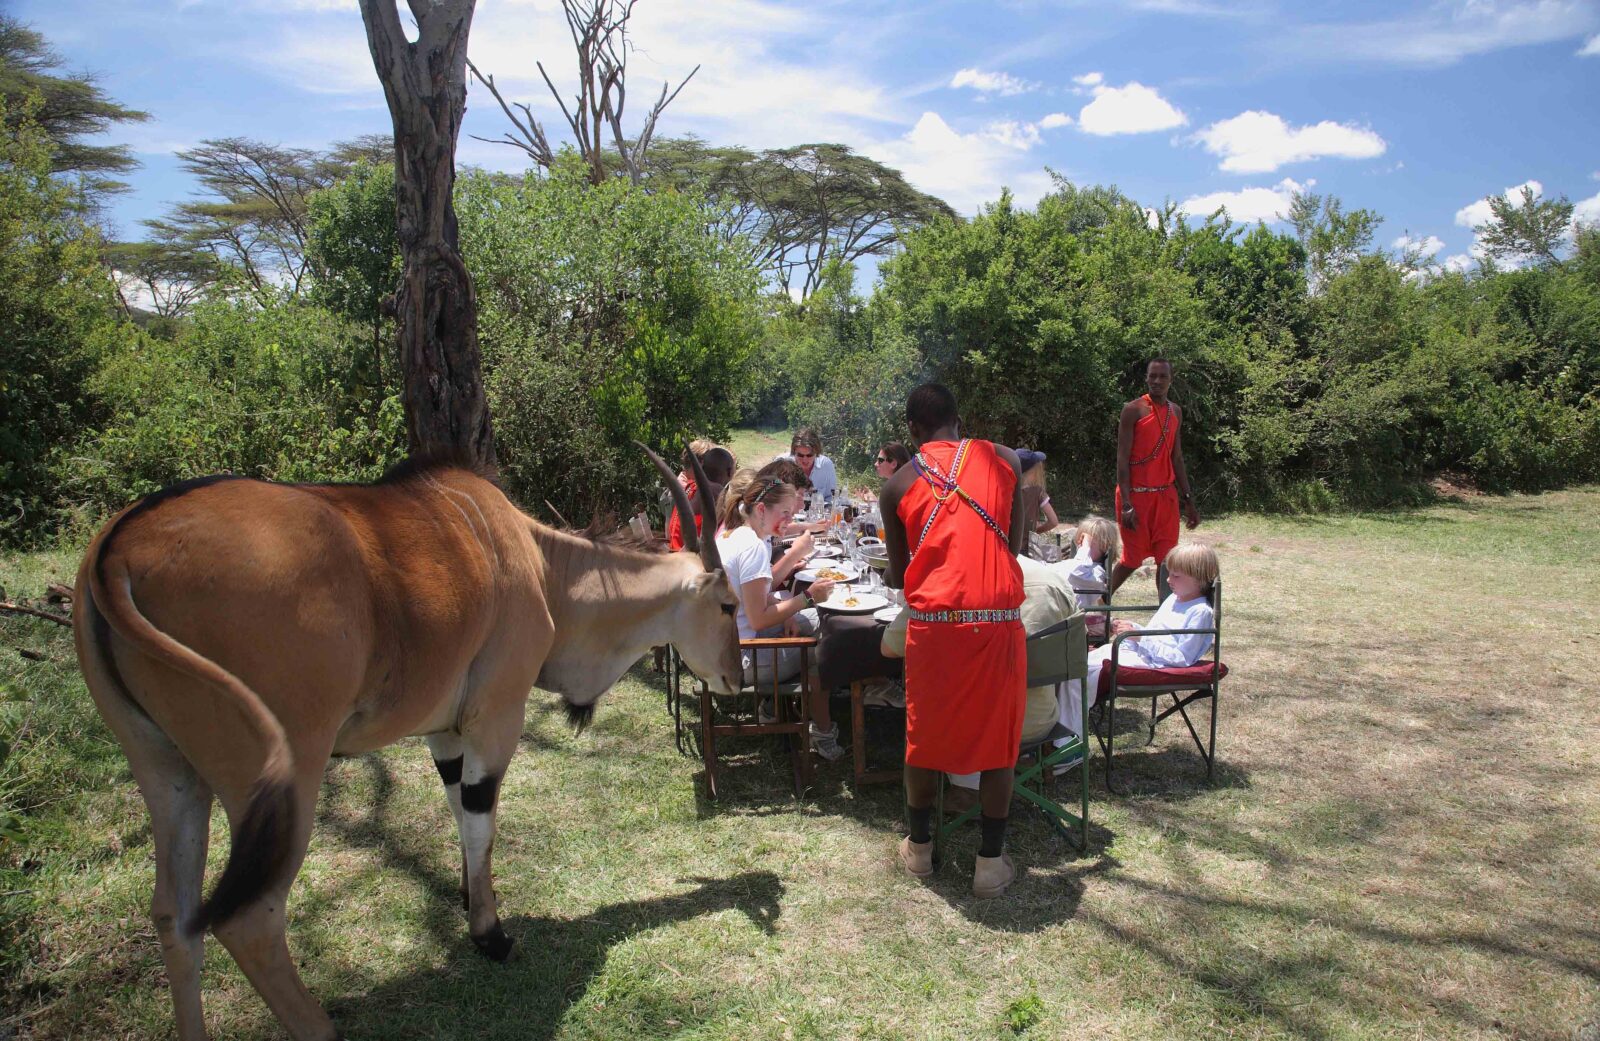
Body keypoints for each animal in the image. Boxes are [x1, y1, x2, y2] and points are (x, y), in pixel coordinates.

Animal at [75, 447, 742, 1041]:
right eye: (729, 603)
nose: (737, 676)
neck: (541, 564)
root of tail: (120, 549)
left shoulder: (442, 733)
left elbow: (461, 813)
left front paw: (470, 895)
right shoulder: (495, 717)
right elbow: (481, 819)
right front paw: (489, 934)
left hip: (168, 776)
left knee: (175, 918)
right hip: (285, 776)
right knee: (248, 919)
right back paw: (321, 1026)